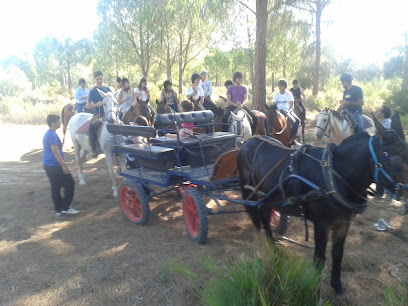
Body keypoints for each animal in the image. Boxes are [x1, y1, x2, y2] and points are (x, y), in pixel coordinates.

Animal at [237, 116, 408, 294]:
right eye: (394, 162)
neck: (335, 176)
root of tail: (247, 142)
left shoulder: (344, 223)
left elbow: (338, 254)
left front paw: (337, 285)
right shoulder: (321, 224)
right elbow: (319, 259)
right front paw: (314, 291)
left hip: (267, 197)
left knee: (264, 218)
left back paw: (274, 250)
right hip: (250, 194)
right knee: (257, 220)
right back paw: (262, 247)